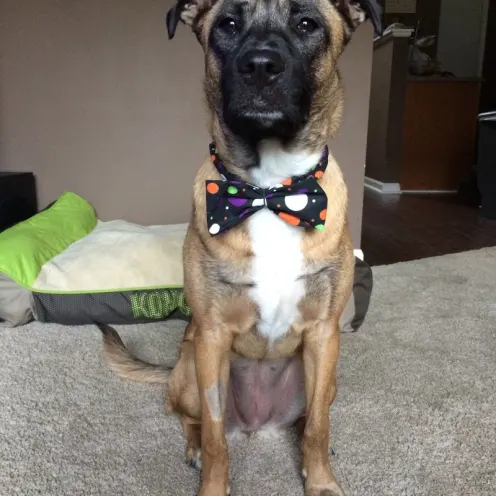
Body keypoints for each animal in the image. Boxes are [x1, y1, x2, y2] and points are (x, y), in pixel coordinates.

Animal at [100, 1, 380, 494]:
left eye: (306, 23)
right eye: (228, 24)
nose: (260, 66)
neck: (269, 190)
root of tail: (259, 423)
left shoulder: (324, 333)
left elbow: (318, 427)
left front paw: (320, 480)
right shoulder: (212, 338)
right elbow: (216, 437)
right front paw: (213, 484)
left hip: (328, 378)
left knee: (310, 417)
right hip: (190, 365)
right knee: (189, 417)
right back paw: (193, 447)